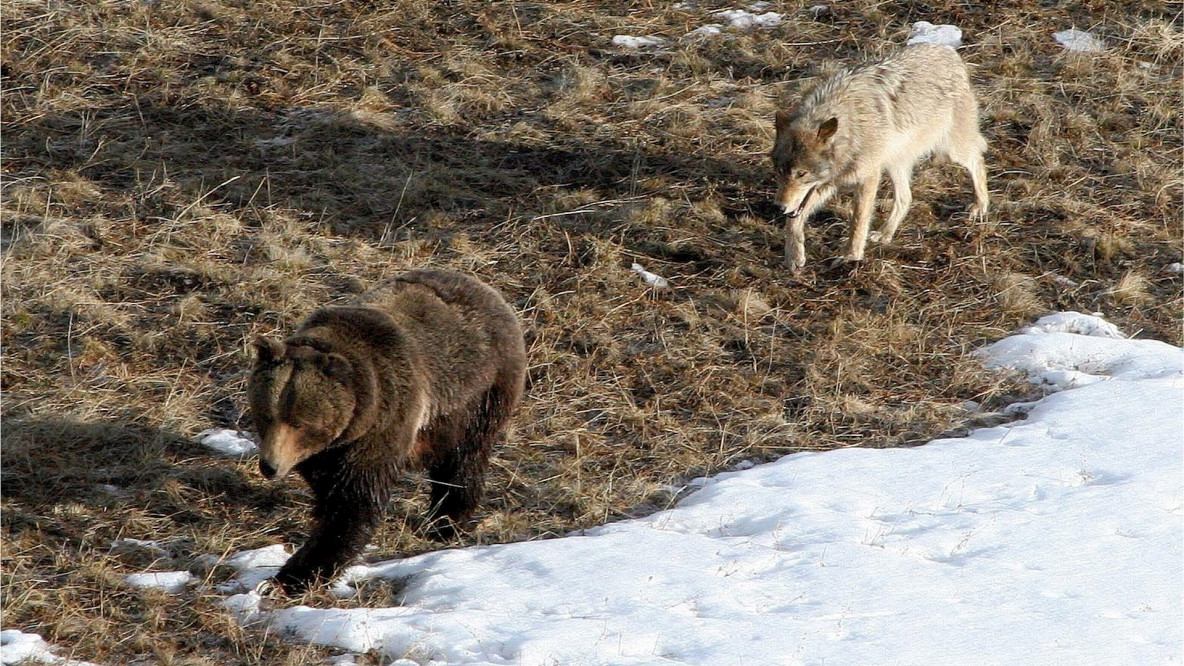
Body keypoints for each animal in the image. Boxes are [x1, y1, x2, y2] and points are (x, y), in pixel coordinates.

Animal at [247, 266, 525, 587]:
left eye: (299, 422)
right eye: (266, 415)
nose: (270, 466)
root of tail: (487, 290)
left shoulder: (385, 421)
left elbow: (354, 502)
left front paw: (297, 573)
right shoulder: (328, 450)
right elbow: (329, 489)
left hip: (477, 396)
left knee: (463, 460)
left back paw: (446, 522)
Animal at [771, 42, 985, 271]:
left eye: (801, 174)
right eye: (780, 171)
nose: (779, 207)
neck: (851, 131)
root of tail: (949, 51)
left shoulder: (868, 178)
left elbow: (858, 221)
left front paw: (851, 256)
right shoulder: (827, 185)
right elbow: (794, 221)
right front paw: (794, 255)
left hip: (951, 150)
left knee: (978, 160)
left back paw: (980, 206)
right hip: (895, 164)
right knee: (906, 197)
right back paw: (885, 234)